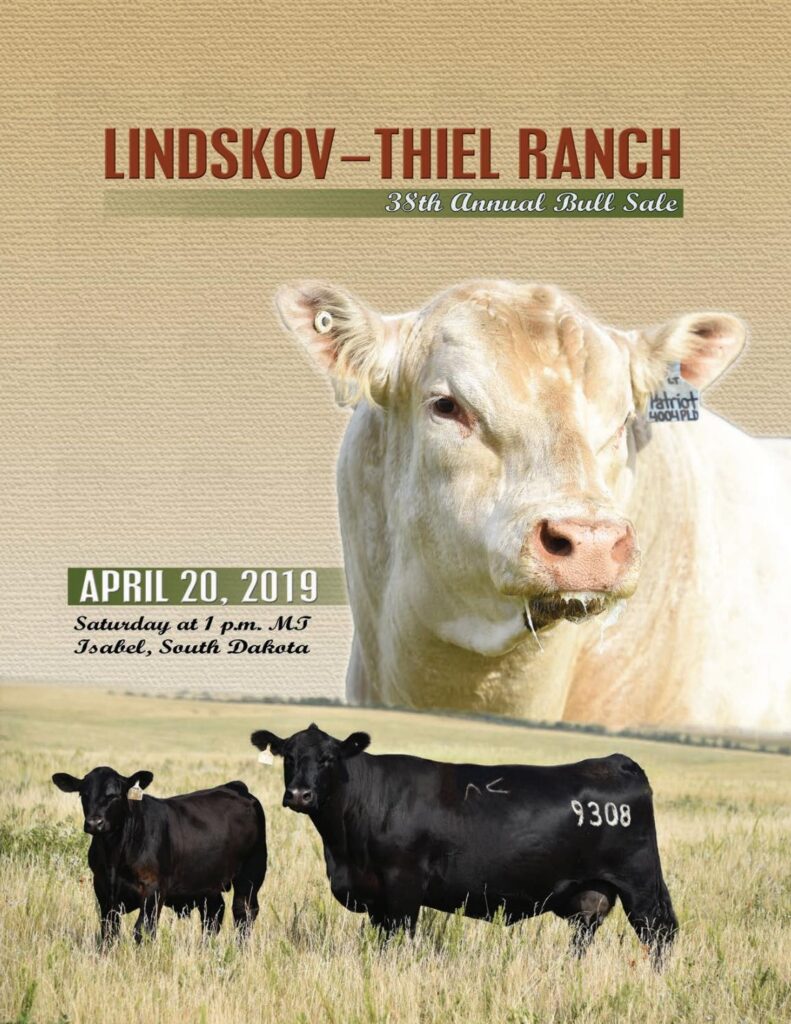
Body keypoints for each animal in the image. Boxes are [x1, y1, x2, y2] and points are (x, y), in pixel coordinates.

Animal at [52, 766, 267, 944]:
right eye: (83, 794)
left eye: (115, 795)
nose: (94, 823)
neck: (115, 854)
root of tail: (235, 787)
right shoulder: (103, 889)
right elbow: (109, 931)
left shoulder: (153, 890)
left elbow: (143, 930)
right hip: (207, 881)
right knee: (213, 913)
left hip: (251, 873)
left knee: (243, 911)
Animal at [250, 723, 678, 966]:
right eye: (289, 756)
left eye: (327, 758)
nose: (300, 794)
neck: (343, 850)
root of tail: (617, 761)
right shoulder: (374, 897)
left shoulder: (402, 887)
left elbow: (397, 942)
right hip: (593, 893)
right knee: (586, 932)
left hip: (640, 884)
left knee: (659, 934)